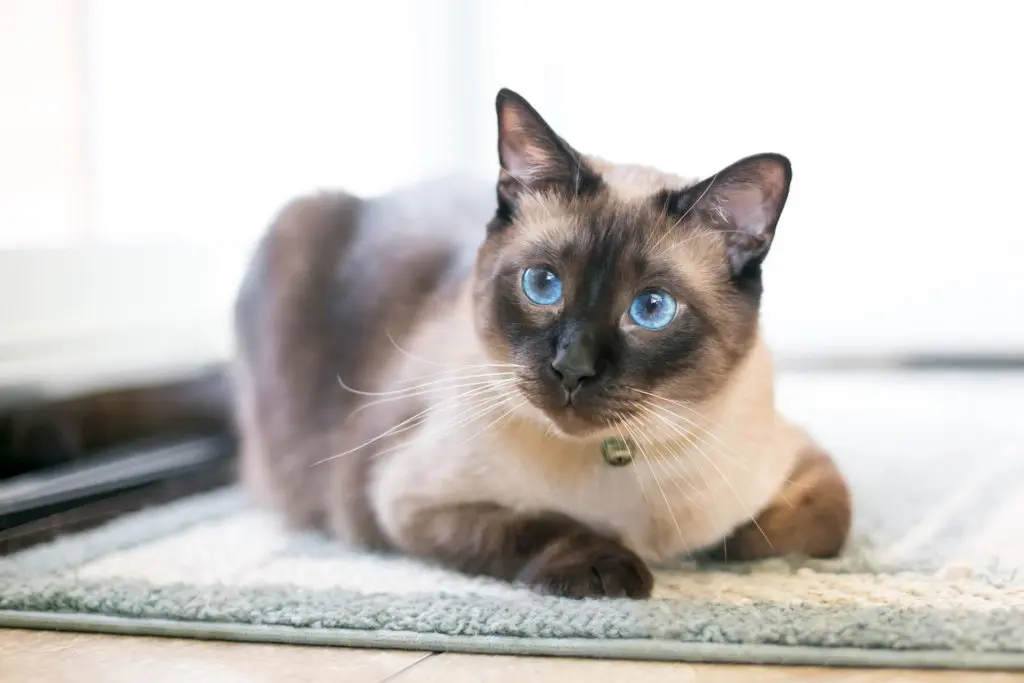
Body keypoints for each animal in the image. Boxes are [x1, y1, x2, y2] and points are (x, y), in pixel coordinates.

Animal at [234, 89, 856, 598]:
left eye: (651, 310)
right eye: (542, 285)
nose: (572, 369)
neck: (618, 461)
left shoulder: (802, 466)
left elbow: (804, 527)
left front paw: (713, 549)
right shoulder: (405, 501)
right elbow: (539, 525)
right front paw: (613, 566)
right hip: (296, 224)